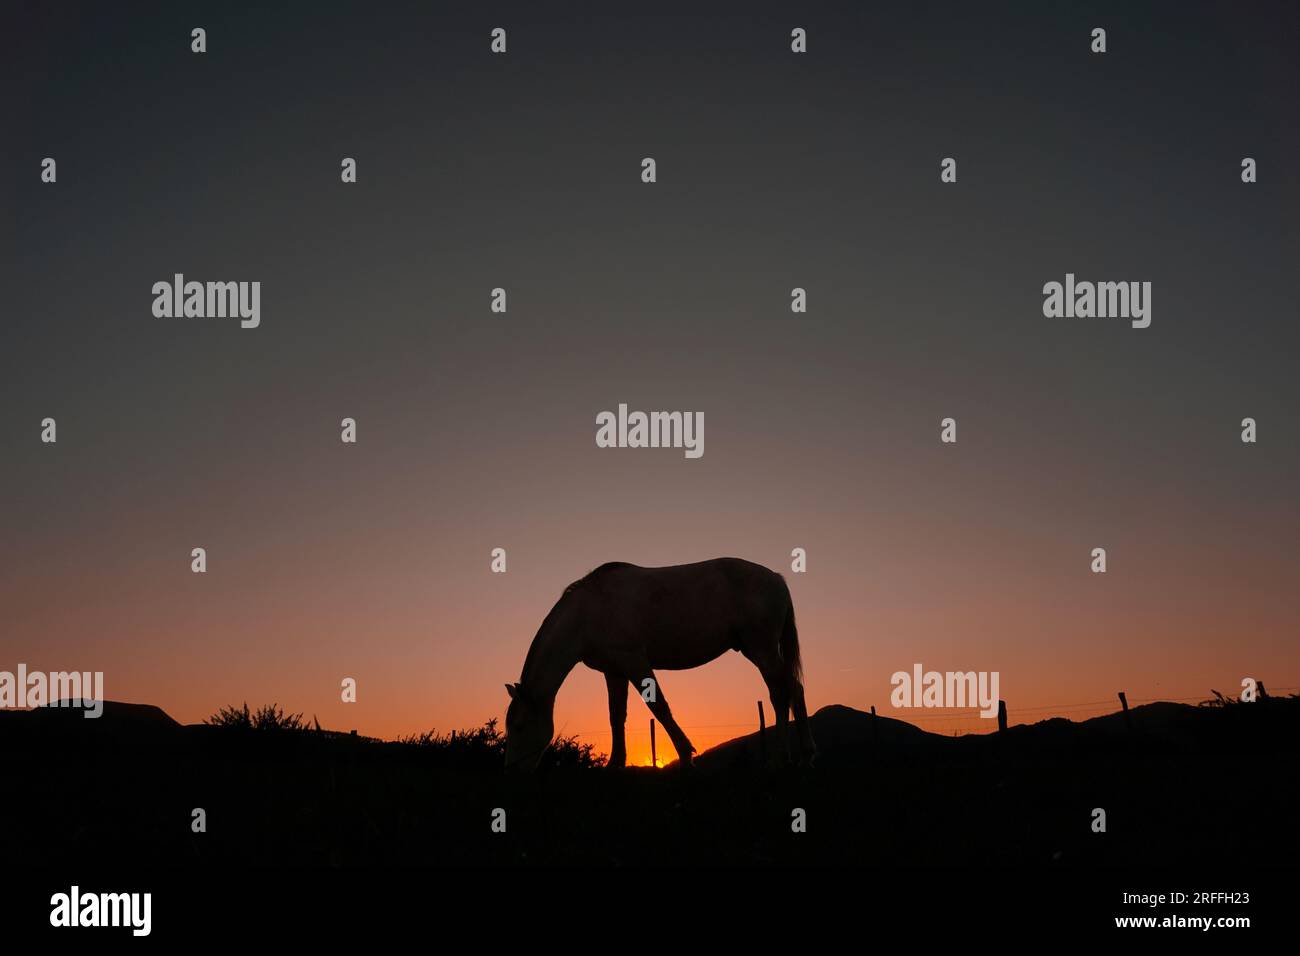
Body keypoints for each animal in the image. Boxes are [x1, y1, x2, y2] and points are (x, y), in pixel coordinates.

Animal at [504, 561, 811, 770]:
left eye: (519, 726)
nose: (511, 772)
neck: (588, 614)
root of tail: (776, 579)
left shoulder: (635, 662)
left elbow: (659, 707)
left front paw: (685, 755)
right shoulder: (614, 671)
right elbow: (616, 716)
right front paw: (615, 764)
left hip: (762, 649)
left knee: (781, 693)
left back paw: (784, 757)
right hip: (757, 650)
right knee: (792, 689)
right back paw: (805, 755)